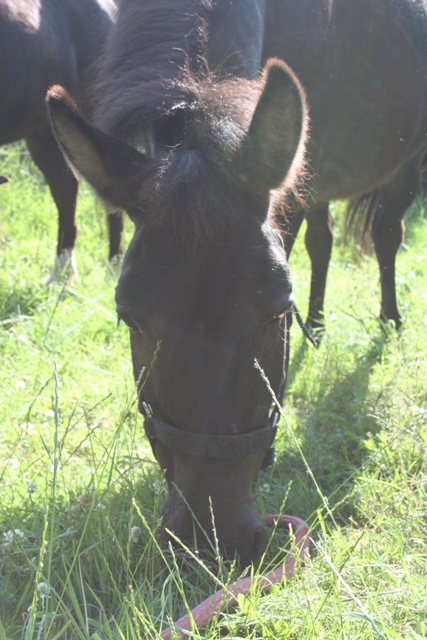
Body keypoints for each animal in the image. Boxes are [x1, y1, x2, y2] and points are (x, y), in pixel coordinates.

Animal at [45, 0, 427, 564]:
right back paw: (318, 327)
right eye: (128, 316)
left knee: (385, 234)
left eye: (277, 310)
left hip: (403, 165)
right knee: (326, 241)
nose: (215, 538)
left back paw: (389, 323)